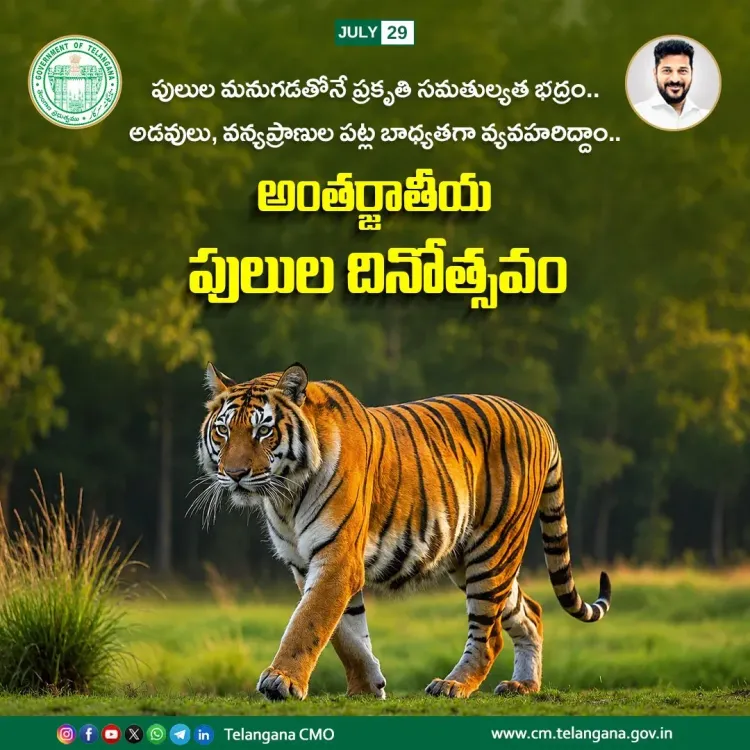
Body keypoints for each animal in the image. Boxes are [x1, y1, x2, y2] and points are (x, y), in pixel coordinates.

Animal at [194, 361, 612, 702]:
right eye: (222, 432)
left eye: (263, 431)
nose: (234, 474)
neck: (284, 496)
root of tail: (539, 420)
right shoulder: (304, 563)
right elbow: (344, 634)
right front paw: (366, 687)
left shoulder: (337, 558)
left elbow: (308, 621)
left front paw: (281, 680)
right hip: (468, 558)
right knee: (531, 611)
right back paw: (524, 685)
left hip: (494, 549)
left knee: (489, 633)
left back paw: (453, 685)